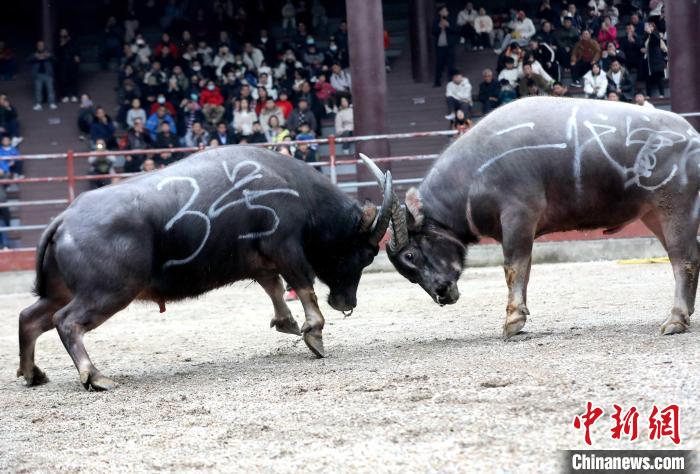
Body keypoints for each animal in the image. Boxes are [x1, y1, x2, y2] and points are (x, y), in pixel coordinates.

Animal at [17, 146, 394, 390]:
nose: (347, 303)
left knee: (29, 318)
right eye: (366, 253)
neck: (296, 189)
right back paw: (94, 375)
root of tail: (65, 219)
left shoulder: (262, 262)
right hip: (109, 291)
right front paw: (313, 333)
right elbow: (303, 286)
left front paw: (285, 322)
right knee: (66, 322)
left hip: (63, 292)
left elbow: (273, 287)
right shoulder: (286, 248)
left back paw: (31, 373)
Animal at [364, 96, 700, 338]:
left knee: (684, 259)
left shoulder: (518, 217)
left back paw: (675, 319)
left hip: (675, 208)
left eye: (410, 254)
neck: (473, 175)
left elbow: (515, 267)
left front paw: (513, 321)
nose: (442, 294)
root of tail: (690, 135)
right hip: (653, 215)